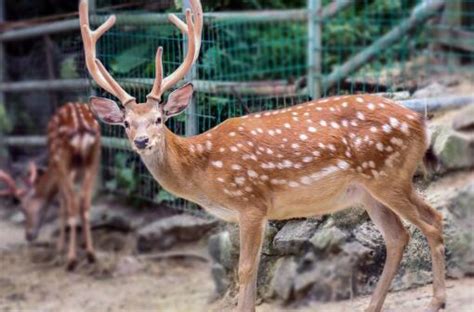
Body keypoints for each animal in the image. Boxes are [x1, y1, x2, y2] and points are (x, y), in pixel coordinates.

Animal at [0, 103, 101, 270]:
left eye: (23, 208)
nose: (28, 235)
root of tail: (81, 128)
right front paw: (83, 245)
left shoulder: (59, 167)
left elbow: (62, 205)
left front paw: (60, 249)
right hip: (94, 158)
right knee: (85, 202)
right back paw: (91, 254)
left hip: (63, 157)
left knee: (72, 203)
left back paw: (71, 259)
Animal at [78, 0, 444, 312]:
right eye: (126, 123)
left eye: (158, 119)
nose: (141, 141)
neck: (203, 171)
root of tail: (421, 123)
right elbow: (251, 272)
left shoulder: (250, 201)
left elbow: (245, 269)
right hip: (368, 190)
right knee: (398, 235)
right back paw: (373, 306)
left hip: (389, 175)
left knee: (432, 220)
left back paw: (436, 301)